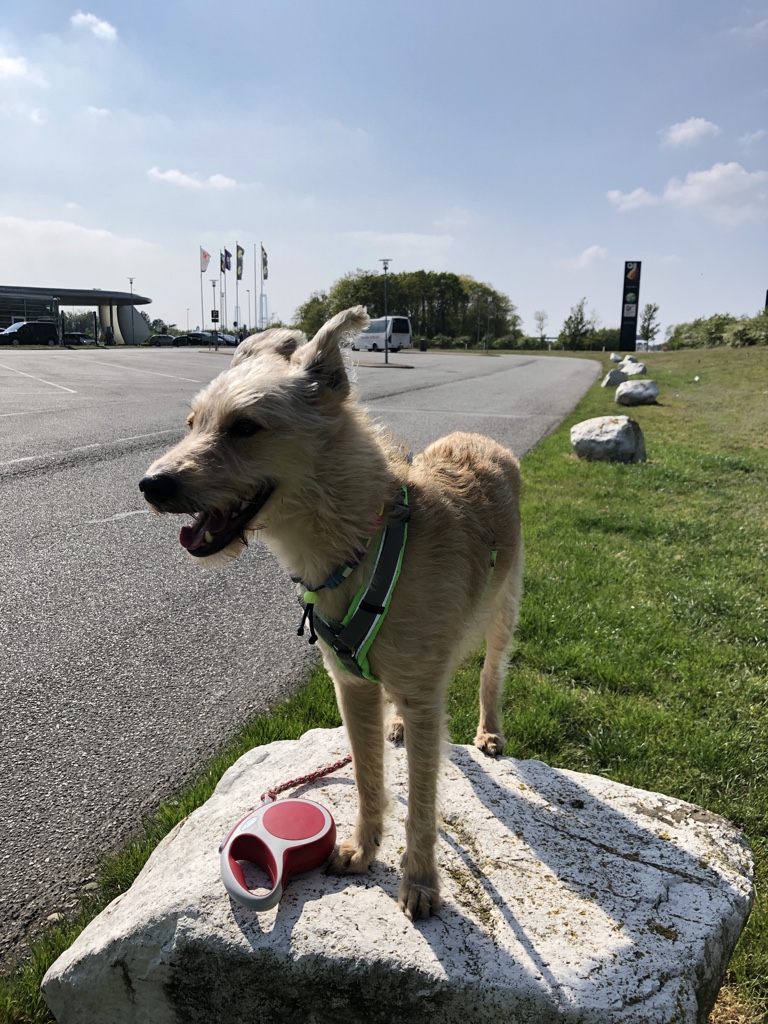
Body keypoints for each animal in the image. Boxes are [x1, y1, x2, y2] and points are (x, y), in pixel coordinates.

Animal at [139, 306, 523, 920]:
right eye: (192, 423)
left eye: (244, 428)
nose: (150, 485)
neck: (361, 546)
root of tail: (482, 439)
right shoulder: (351, 685)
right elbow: (367, 778)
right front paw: (363, 850)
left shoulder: (422, 694)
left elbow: (422, 799)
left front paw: (420, 880)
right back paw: (396, 726)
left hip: (504, 606)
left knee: (490, 671)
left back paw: (489, 731)